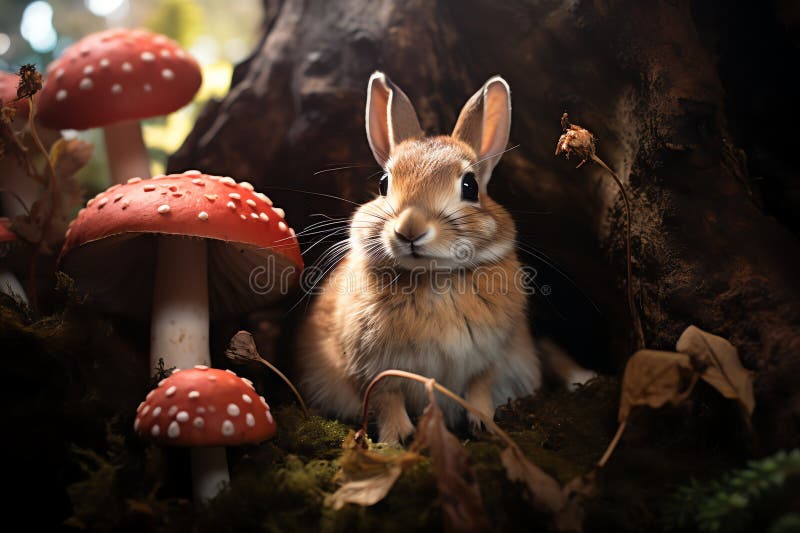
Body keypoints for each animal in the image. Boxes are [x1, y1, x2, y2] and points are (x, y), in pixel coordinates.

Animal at [296, 72, 587, 444]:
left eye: (470, 186)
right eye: (383, 184)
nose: (410, 229)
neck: (434, 276)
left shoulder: (487, 360)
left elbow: (479, 389)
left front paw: (484, 425)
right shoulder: (373, 368)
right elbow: (386, 398)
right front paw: (398, 440)